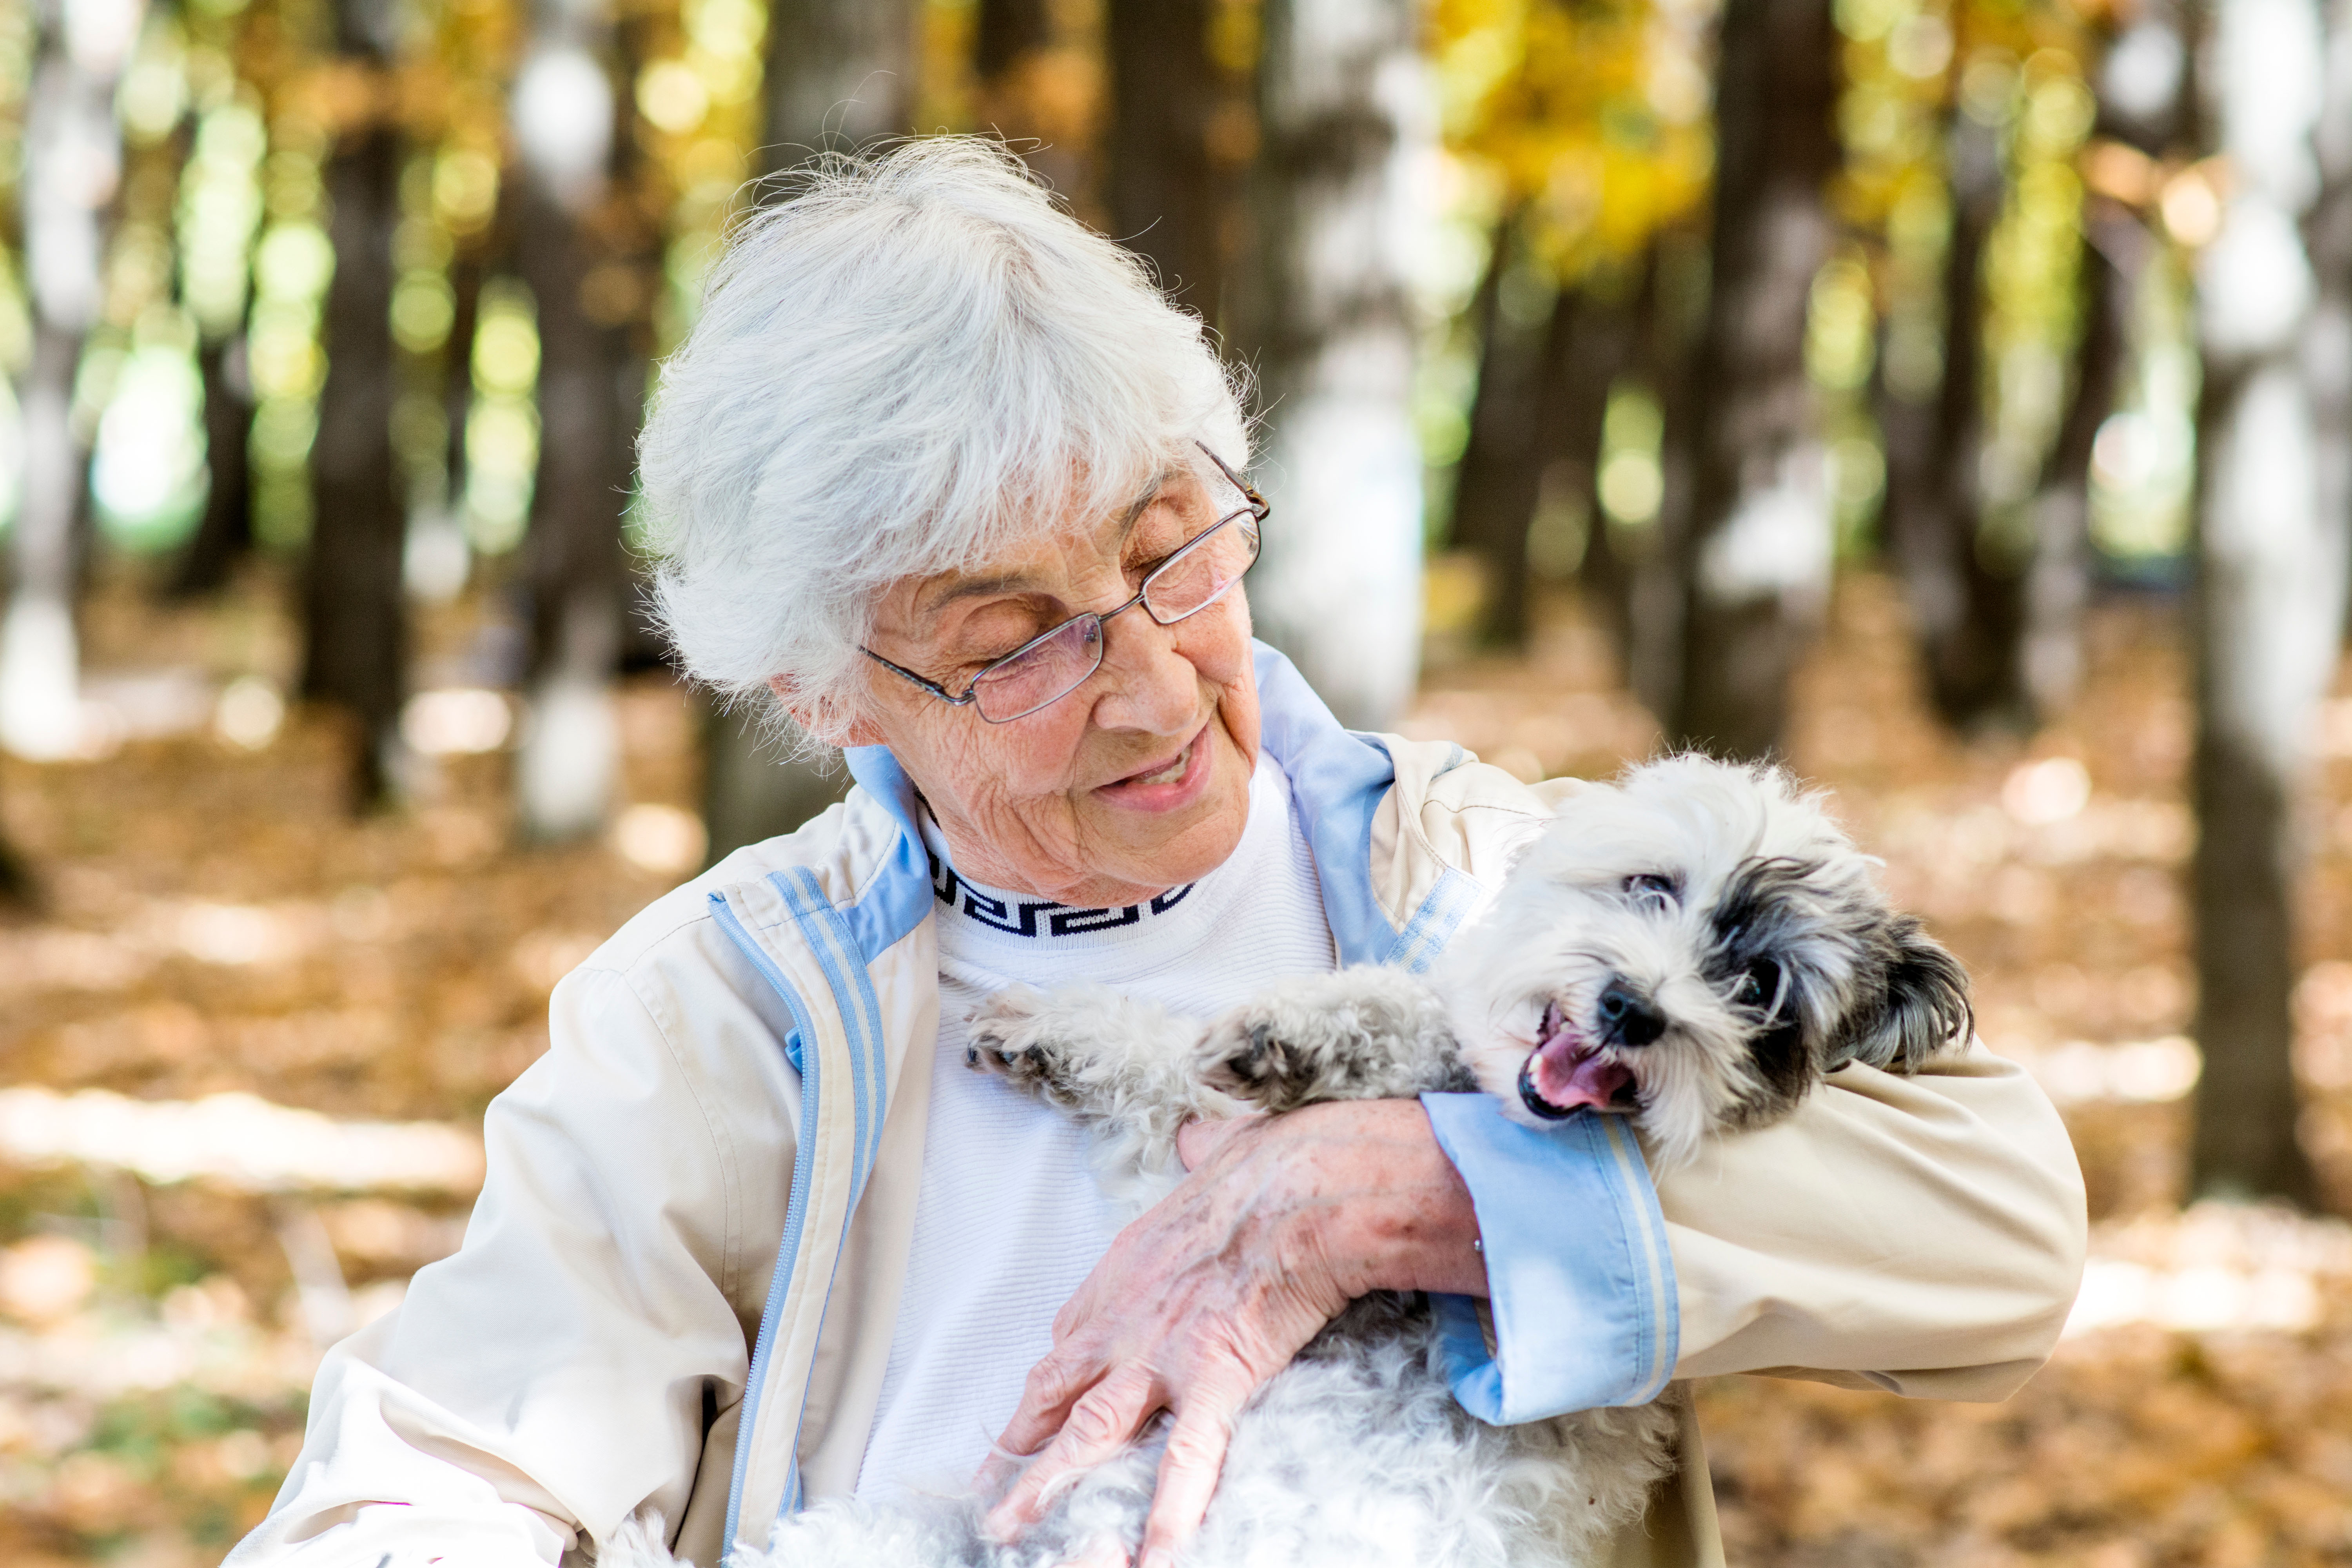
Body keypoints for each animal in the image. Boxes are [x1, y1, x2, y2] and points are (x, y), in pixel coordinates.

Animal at [706, 752, 1976, 1561]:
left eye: (1755, 984)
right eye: (1649, 886)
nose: (1632, 1007)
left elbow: (1388, 1015)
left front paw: (1301, 1034)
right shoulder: (1198, 1170)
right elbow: (1170, 1064)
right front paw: (1063, 1034)